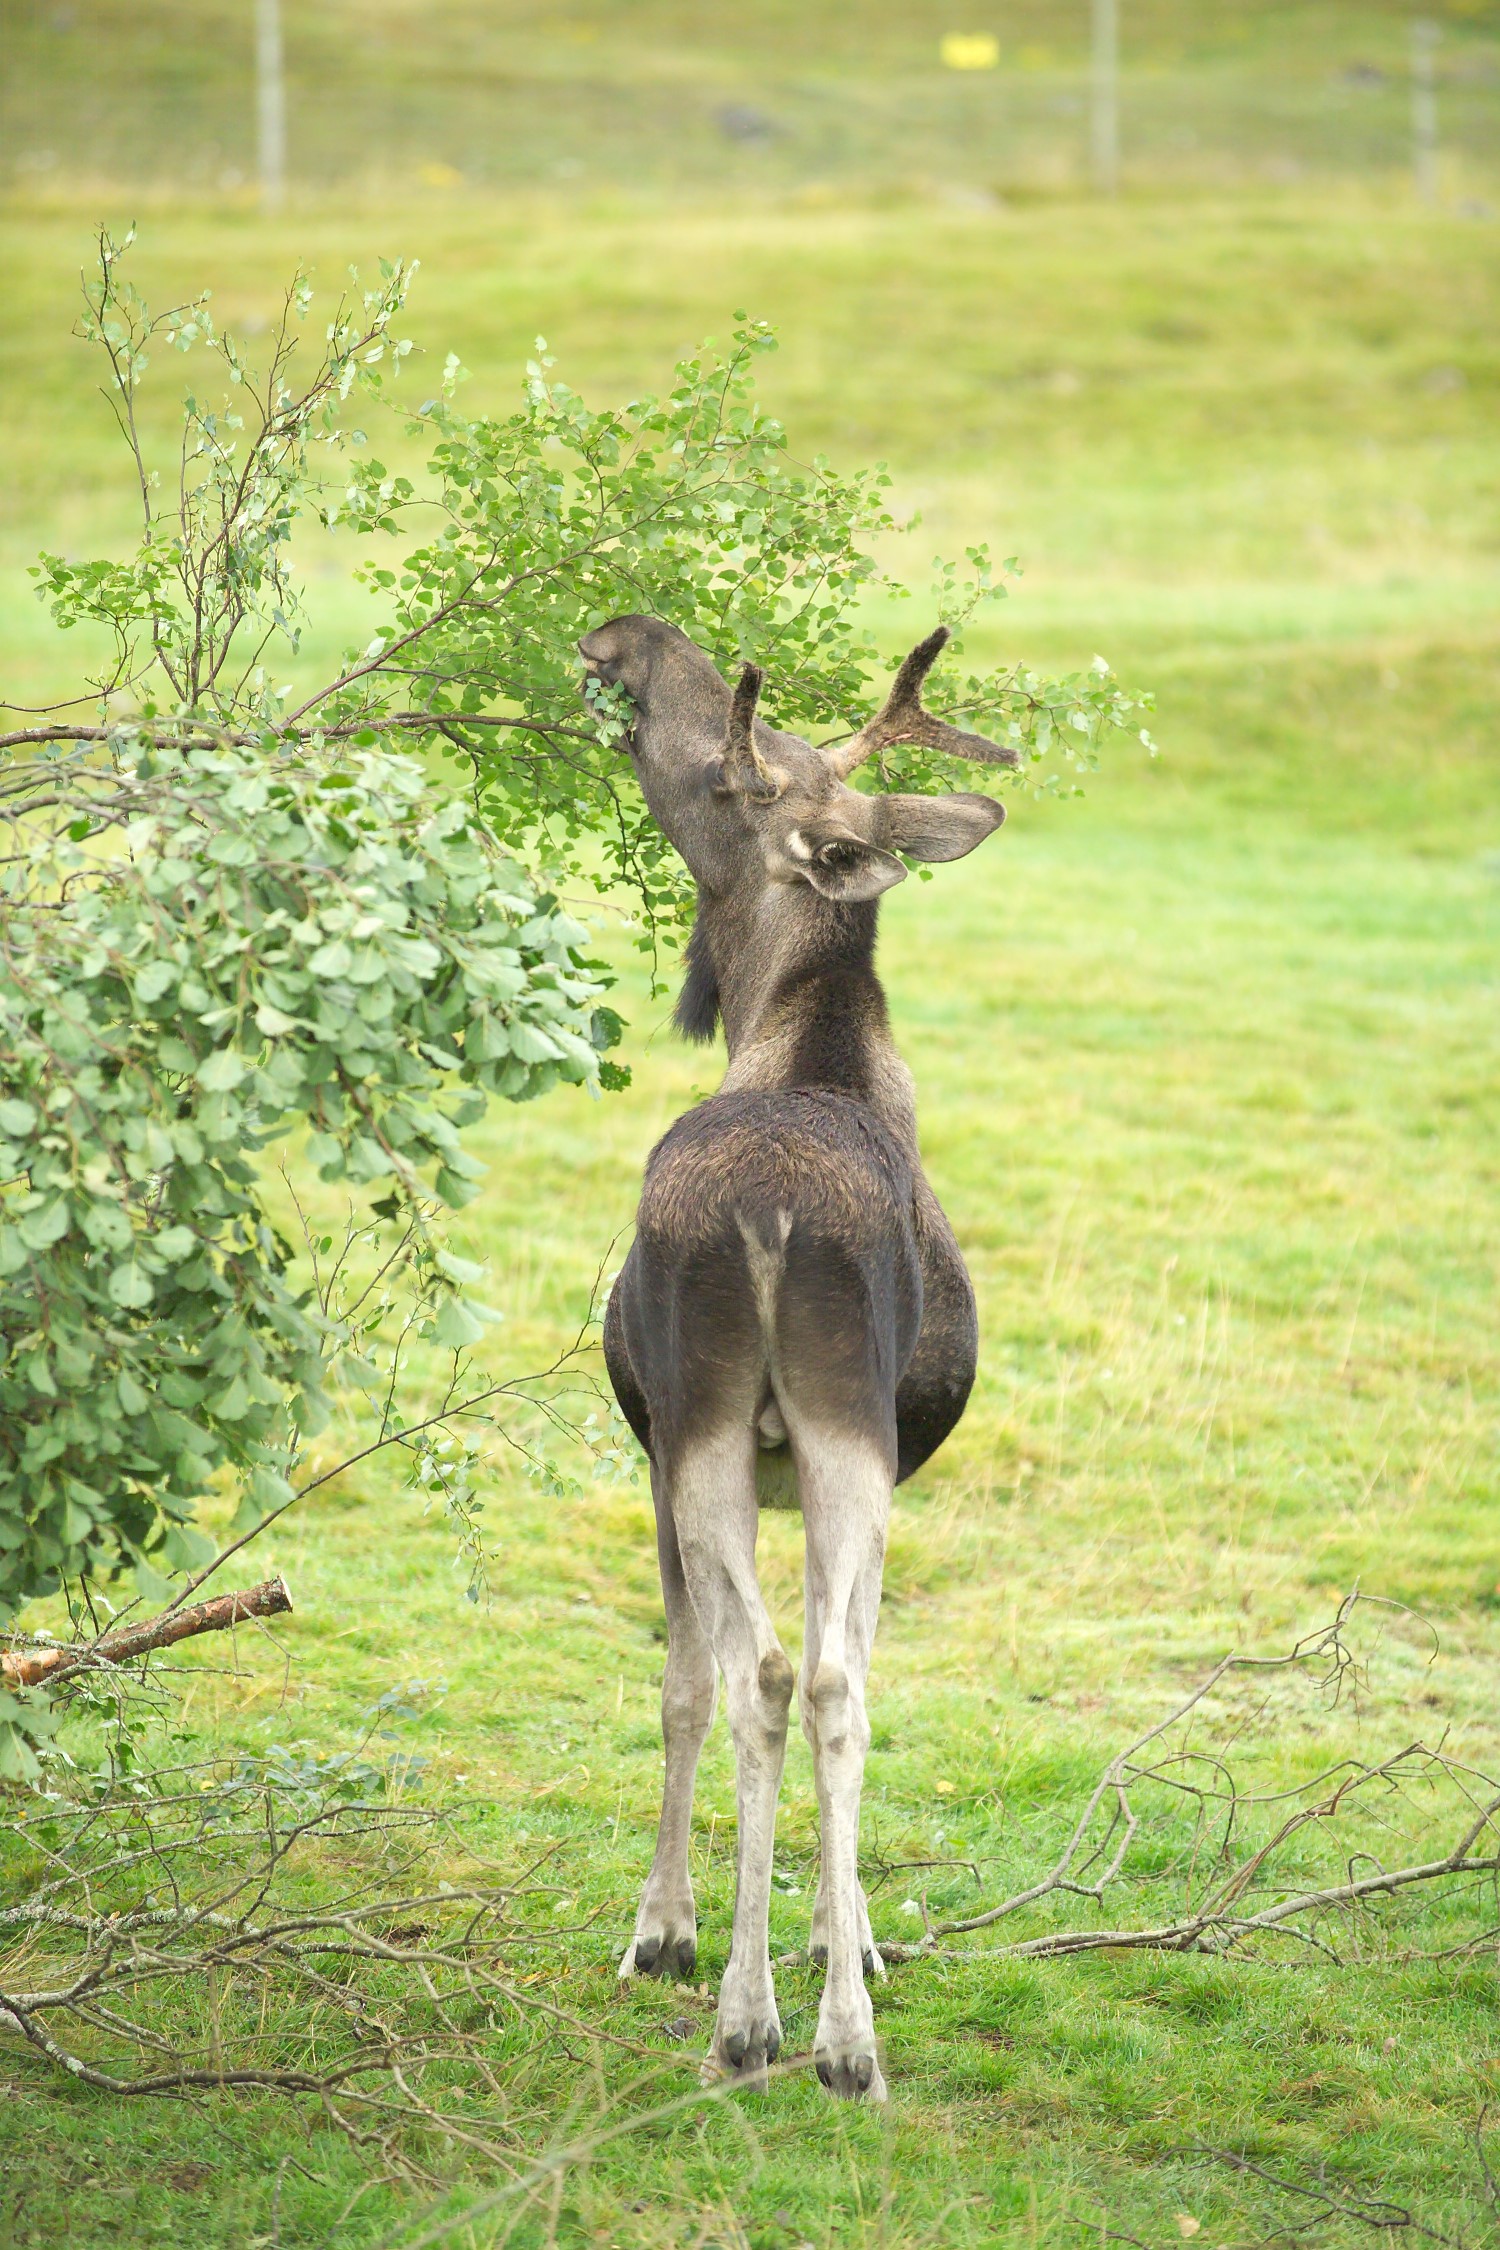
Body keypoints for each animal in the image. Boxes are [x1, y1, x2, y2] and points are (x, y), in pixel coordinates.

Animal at [578, 614, 1016, 2102]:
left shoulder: (651, 1442)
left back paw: (750, 2016)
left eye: (728, 768)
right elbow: (855, 1662)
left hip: (715, 1421)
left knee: (759, 1674)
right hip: (844, 1437)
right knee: (832, 1680)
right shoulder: (879, 1461)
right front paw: (853, 1937)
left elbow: (676, 1684)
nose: (632, 642)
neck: (792, 1024)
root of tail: (770, 1221)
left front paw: (662, 1926)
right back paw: (842, 2036)